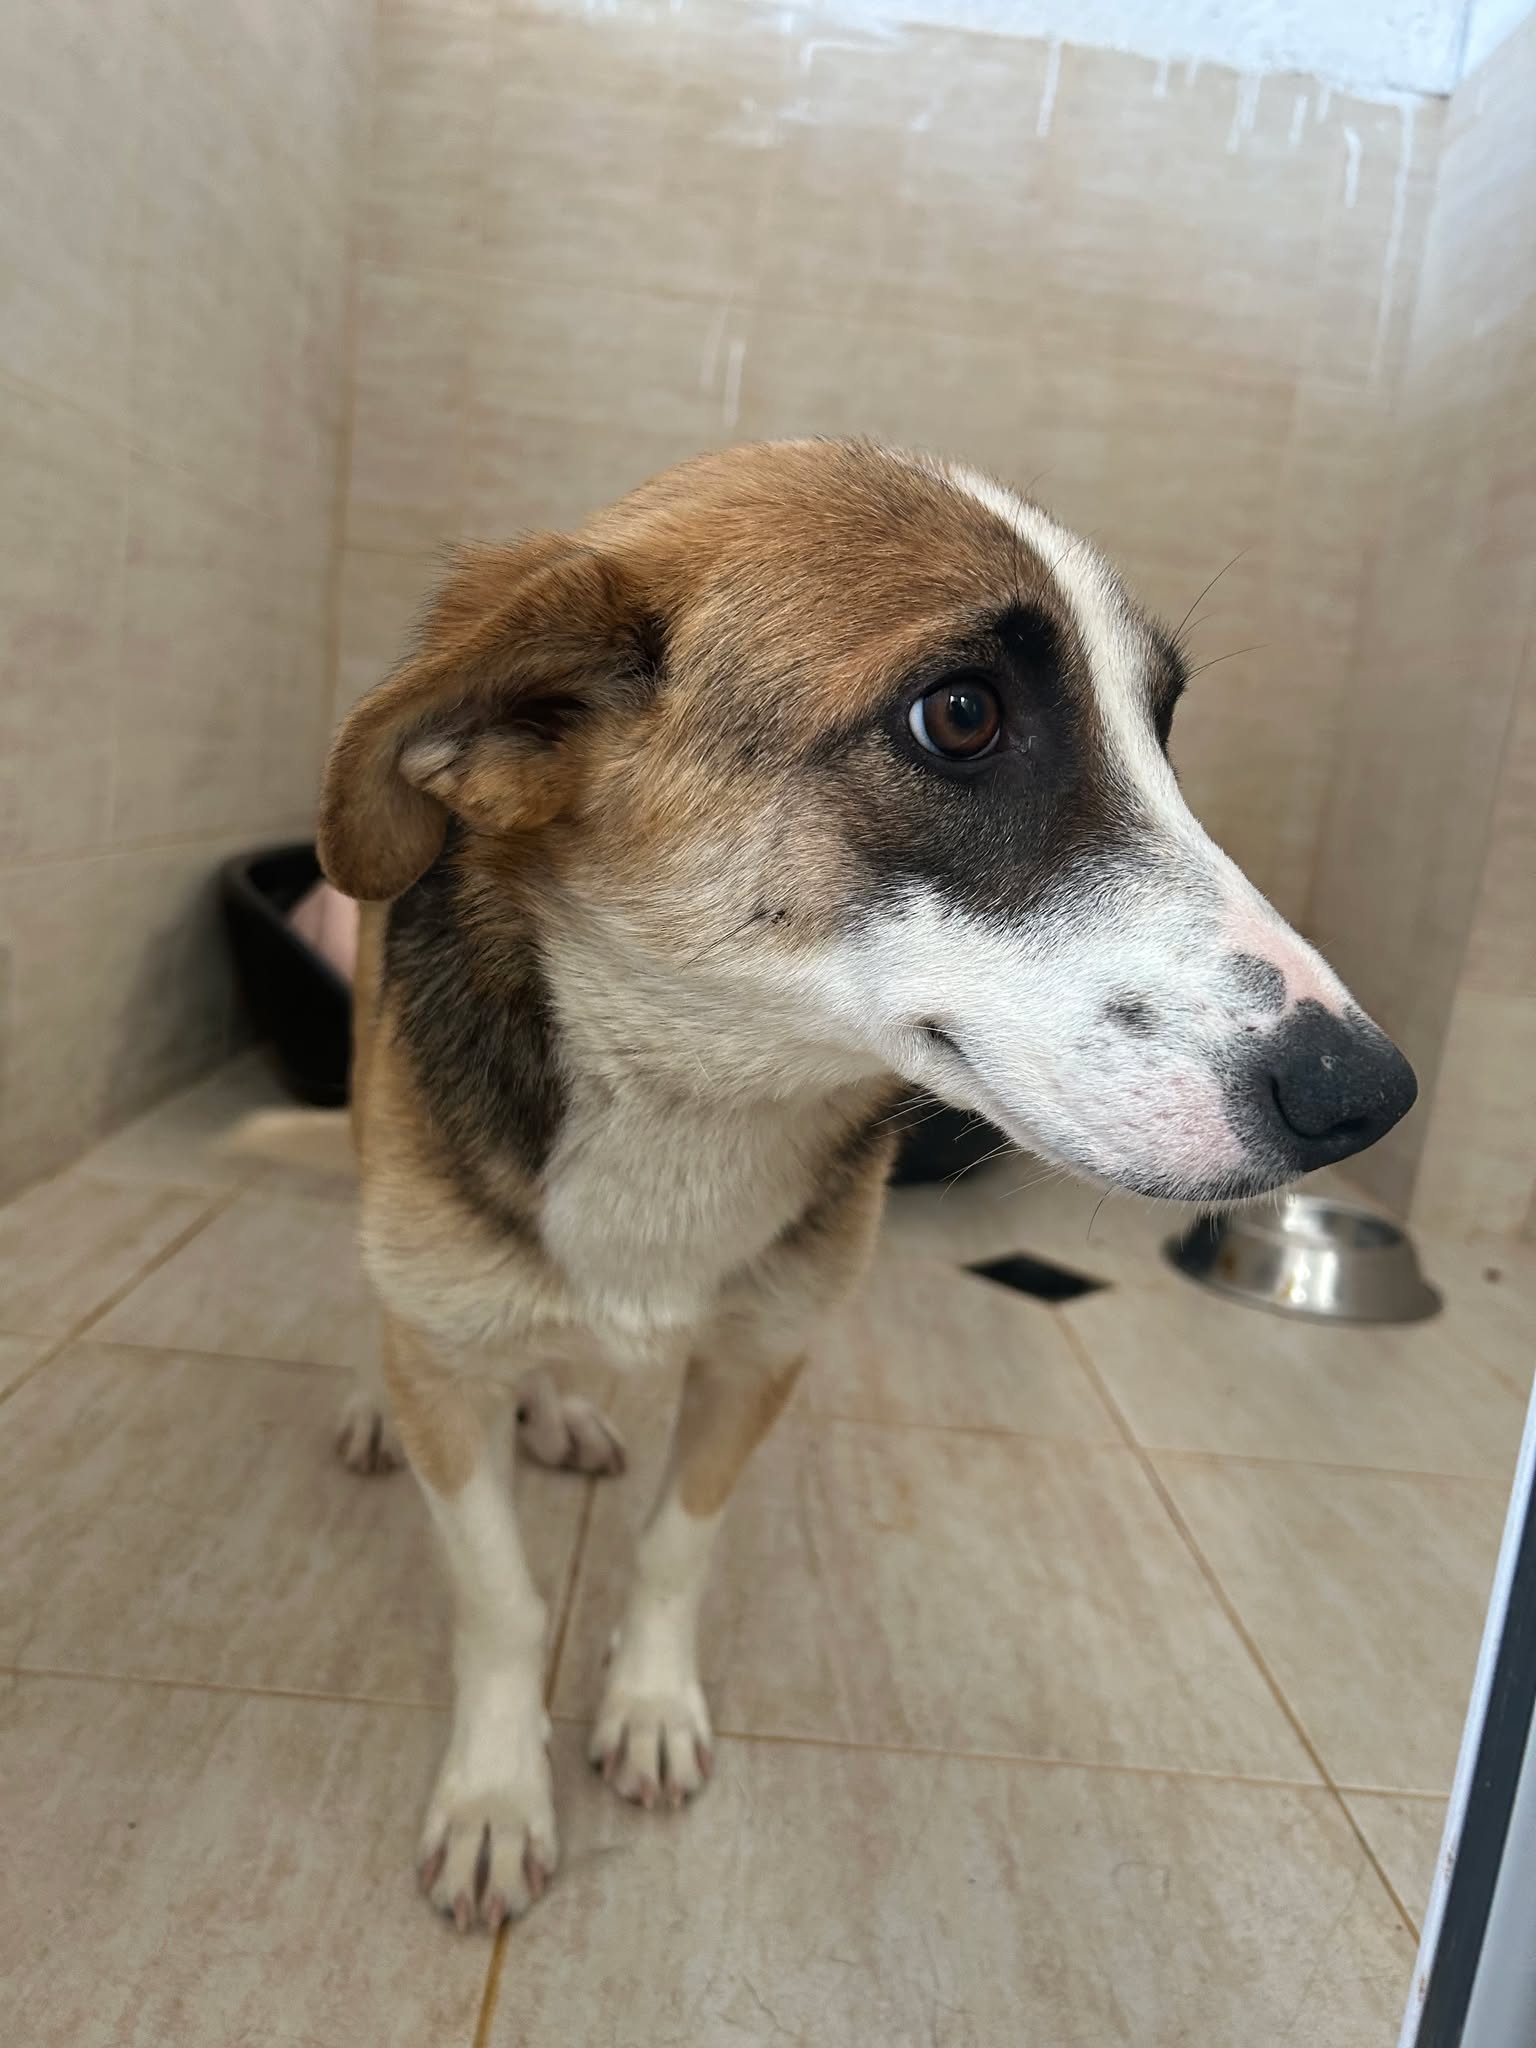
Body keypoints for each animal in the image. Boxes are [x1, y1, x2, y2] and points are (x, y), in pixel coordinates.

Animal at [270, 439, 1416, 1932]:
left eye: (1162, 723)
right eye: (963, 716)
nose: (1371, 1095)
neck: (690, 1088)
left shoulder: (764, 1354)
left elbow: (675, 1546)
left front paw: (647, 1707)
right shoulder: (457, 1373)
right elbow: (503, 1599)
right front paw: (495, 1796)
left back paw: (564, 1406)